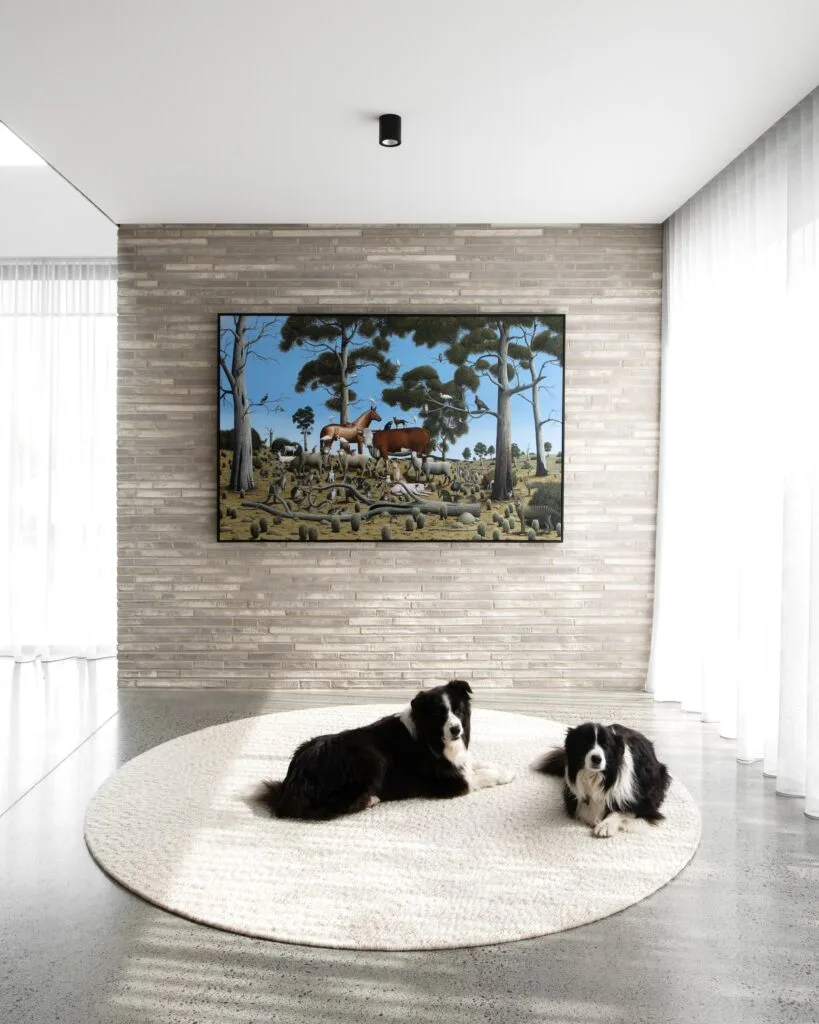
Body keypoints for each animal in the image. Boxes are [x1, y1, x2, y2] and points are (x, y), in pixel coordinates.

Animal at [252, 679, 515, 823]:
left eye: (458, 710)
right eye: (440, 714)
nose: (456, 729)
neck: (432, 736)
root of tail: (290, 788)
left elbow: (477, 764)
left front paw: (506, 768)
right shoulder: (448, 781)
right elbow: (478, 777)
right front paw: (506, 775)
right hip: (370, 757)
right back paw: (371, 799)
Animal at [532, 724, 667, 835]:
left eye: (606, 746)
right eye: (584, 743)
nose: (596, 758)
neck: (597, 778)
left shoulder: (645, 803)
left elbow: (621, 811)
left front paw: (605, 826)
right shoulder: (573, 800)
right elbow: (586, 811)